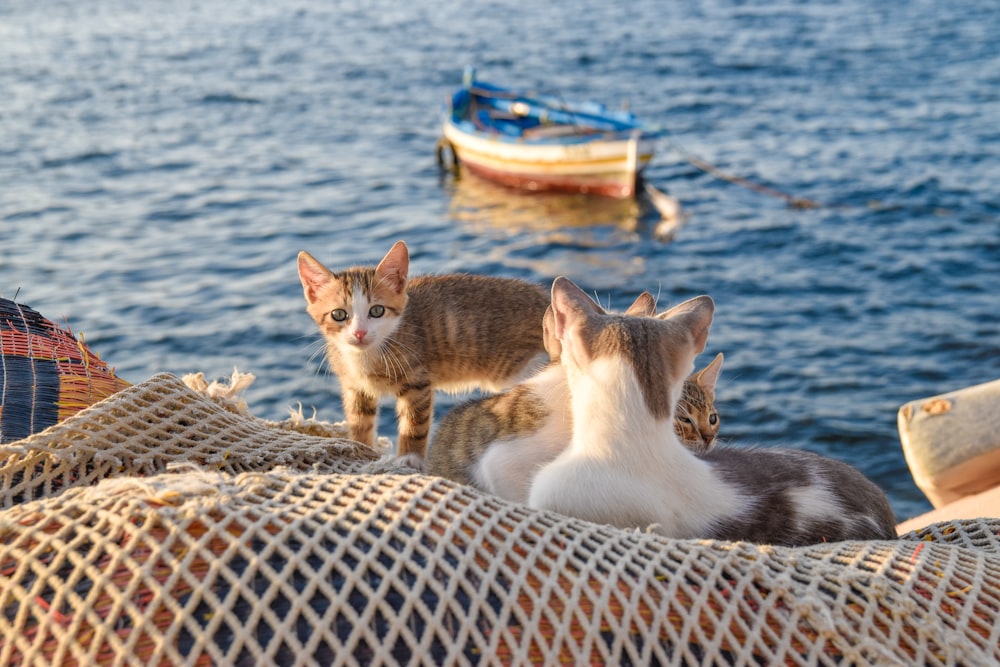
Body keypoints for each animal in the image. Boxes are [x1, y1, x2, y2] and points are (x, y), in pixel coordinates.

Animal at [296, 243, 548, 468]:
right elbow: (360, 421)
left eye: (377, 311)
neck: (366, 356)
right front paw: (360, 447)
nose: (360, 333)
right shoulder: (354, 386)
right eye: (339, 314)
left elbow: (414, 423)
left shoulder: (417, 382)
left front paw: (409, 458)